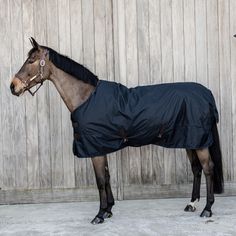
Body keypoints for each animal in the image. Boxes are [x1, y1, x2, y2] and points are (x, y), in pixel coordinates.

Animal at [10, 37, 223, 225]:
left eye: (31, 60)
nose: (13, 87)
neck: (86, 98)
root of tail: (206, 93)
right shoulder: (100, 147)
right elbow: (107, 177)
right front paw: (109, 209)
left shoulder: (95, 149)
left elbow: (100, 181)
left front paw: (99, 215)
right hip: (190, 141)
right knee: (196, 169)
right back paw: (192, 204)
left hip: (200, 143)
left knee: (208, 169)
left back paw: (207, 209)